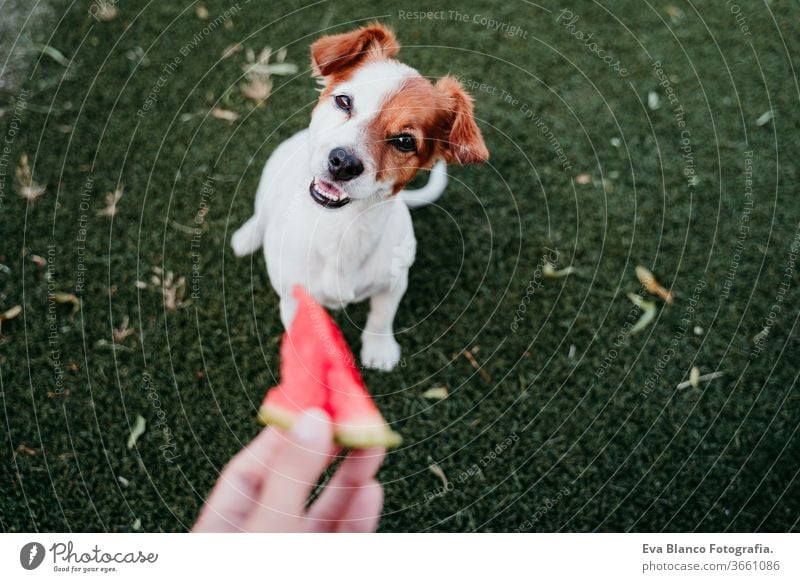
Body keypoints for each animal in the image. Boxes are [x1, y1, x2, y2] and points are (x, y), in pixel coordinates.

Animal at [228, 22, 484, 372]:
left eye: (405, 141)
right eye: (344, 102)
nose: (343, 162)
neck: (342, 228)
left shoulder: (394, 284)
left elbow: (381, 317)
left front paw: (379, 349)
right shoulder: (295, 298)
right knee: (261, 213)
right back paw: (247, 236)